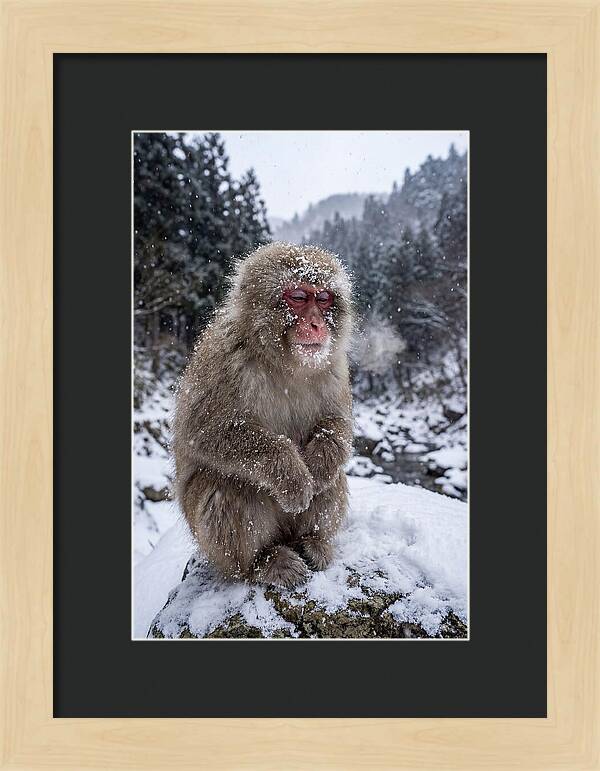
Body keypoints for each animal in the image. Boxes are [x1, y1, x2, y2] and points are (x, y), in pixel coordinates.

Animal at [172, 242, 354, 588]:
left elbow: (337, 424)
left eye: (324, 298)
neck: (285, 363)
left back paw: (312, 541)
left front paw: (319, 465)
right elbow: (203, 432)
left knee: (334, 477)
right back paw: (262, 563)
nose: (316, 324)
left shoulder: (335, 366)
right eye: (298, 297)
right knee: (227, 485)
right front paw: (293, 475)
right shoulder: (223, 359)